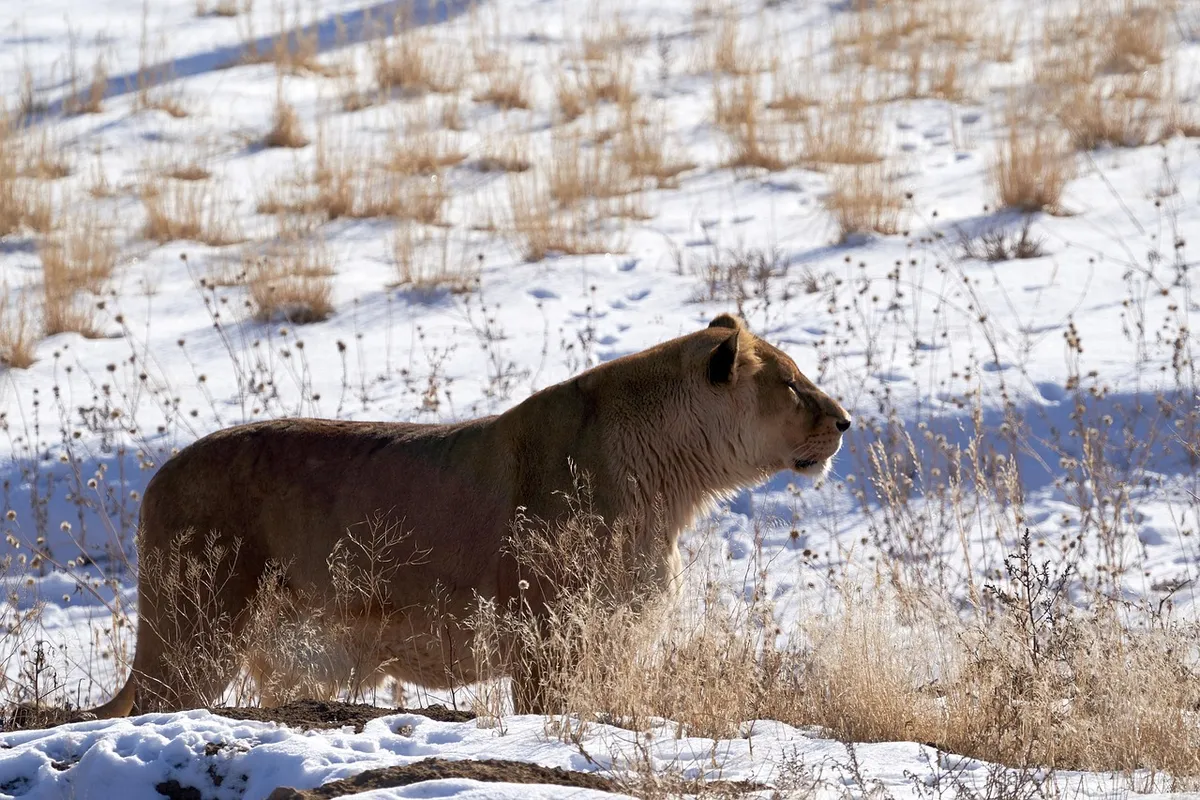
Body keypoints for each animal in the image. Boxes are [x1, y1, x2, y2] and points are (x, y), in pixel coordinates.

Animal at [85, 313, 851, 718]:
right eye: (791, 384)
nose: (845, 420)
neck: (672, 486)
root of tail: (156, 478)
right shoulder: (550, 643)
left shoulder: (613, 639)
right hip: (196, 632)